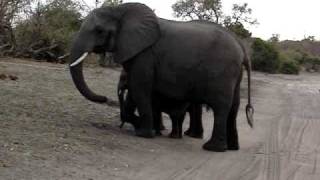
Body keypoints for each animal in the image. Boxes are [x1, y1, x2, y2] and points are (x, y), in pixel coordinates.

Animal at [69, 2, 254, 152]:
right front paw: (146, 128)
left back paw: (212, 148)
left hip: (222, 72)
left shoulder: (145, 55)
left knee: (221, 107)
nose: (104, 97)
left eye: (99, 31)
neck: (121, 9)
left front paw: (144, 133)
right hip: (235, 74)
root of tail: (242, 49)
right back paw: (232, 148)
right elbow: (135, 91)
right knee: (233, 107)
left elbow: (139, 88)